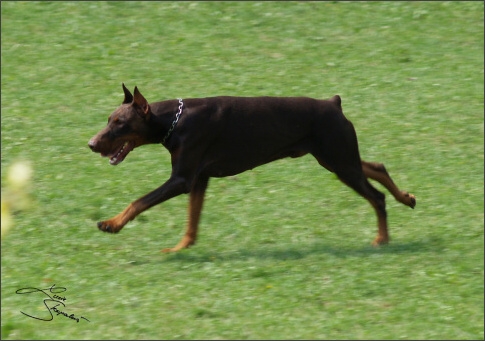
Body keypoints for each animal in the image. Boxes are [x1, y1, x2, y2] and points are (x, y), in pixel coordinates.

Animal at [89, 83, 414, 251]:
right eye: (109, 119)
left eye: (120, 123)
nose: (91, 144)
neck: (174, 120)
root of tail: (333, 103)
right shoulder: (199, 178)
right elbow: (192, 221)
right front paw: (182, 247)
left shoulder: (182, 179)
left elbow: (139, 201)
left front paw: (112, 224)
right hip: (336, 157)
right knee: (377, 166)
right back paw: (406, 198)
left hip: (339, 160)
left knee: (376, 196)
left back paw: (383, 238)